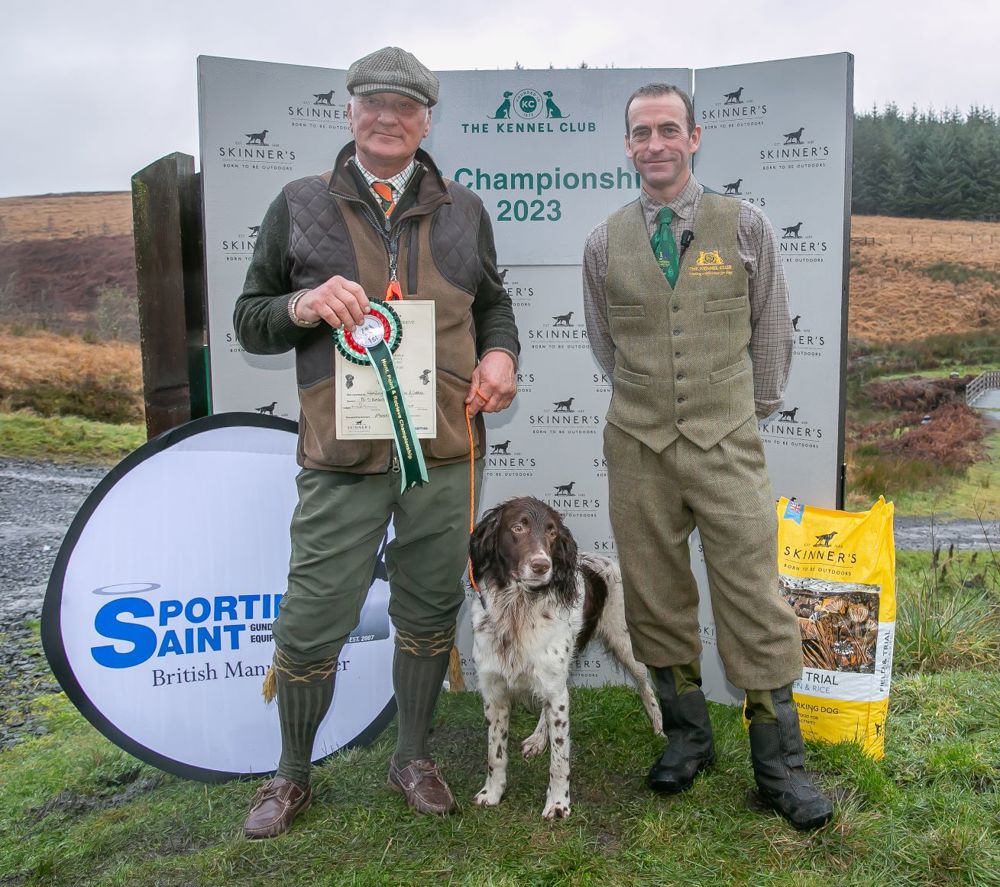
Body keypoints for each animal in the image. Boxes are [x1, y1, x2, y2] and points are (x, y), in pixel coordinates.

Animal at [468, 496, 664, 824]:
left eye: (551, 532)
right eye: (517, 527)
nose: (541, 565)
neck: (517, 609)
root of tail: (607, 560)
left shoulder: (555, 689)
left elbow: (560, 760)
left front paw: (558, 803)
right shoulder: (494, 691)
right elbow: (495, 754)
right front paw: (491, 793)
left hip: (625, 645)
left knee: (646, 686)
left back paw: (660, 729)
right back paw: (538, 737)